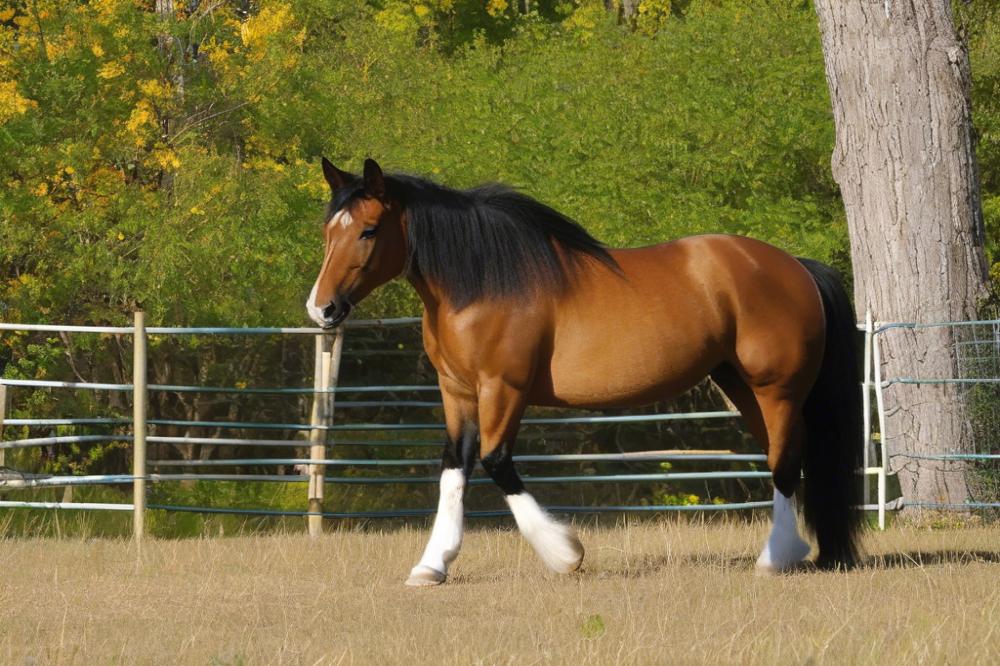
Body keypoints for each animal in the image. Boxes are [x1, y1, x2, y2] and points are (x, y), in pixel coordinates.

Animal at [304, 158, 860, 584]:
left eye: (369, 230)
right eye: (328, 230)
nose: (322, 309)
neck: (481, 281)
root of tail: (795, 266)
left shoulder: (503, 389)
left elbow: (496, 461)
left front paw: (565, 553)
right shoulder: (457, 392)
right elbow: (454, 468)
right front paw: (432, 565)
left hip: (776, 390)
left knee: (785, 463)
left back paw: (775, 558)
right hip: (740, 385)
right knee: (785, 457)